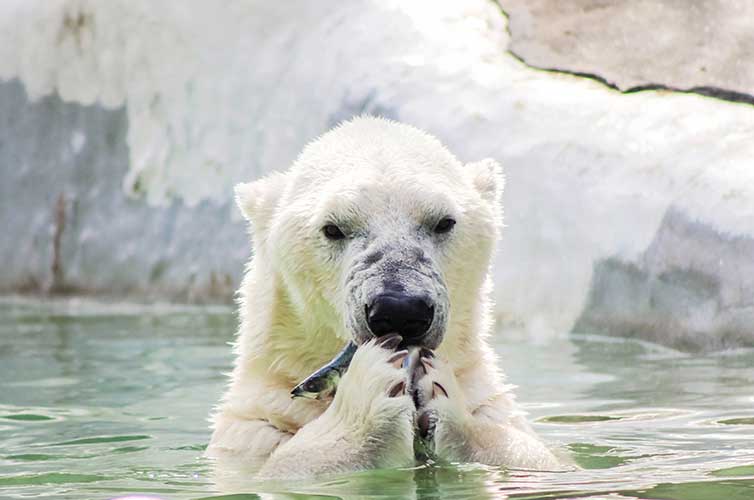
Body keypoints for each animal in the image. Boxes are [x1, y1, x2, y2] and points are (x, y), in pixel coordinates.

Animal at [206, 115, 560, 478]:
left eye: (444, 222)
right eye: (332, 228)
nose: (400, 309)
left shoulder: (489, 403)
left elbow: (533, 458)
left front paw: (442, 393)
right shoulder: (255, 426)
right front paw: (366, 398)